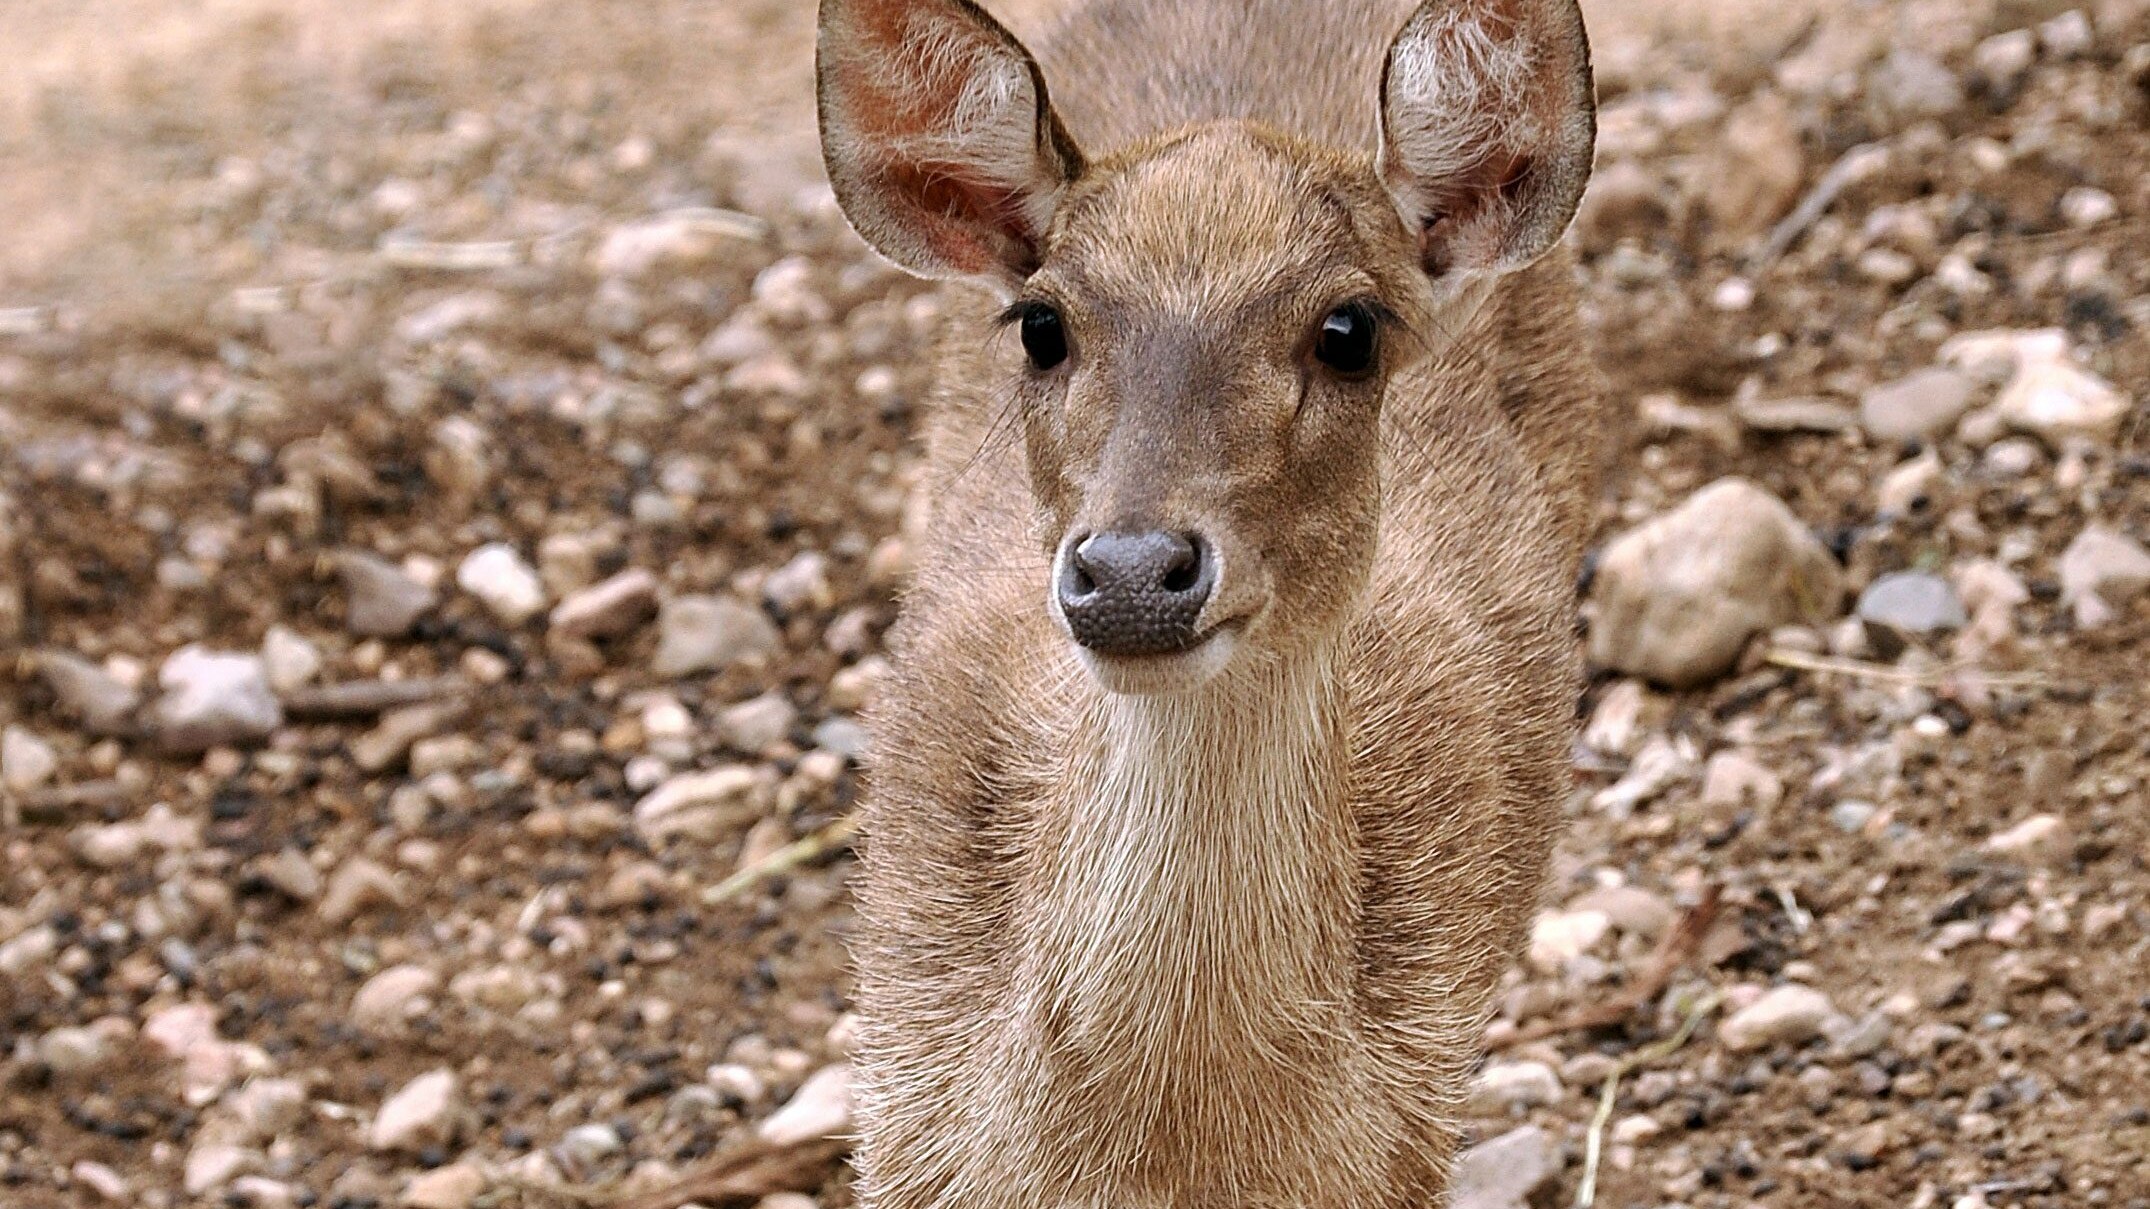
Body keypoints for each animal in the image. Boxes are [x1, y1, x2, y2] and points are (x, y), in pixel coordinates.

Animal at [815, 0, 1604, 1203]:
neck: (1171, 1150)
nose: (1135, 571)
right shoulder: (902, 1100)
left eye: (1348, 328)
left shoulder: (1410, 1122)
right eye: (1041, 324)